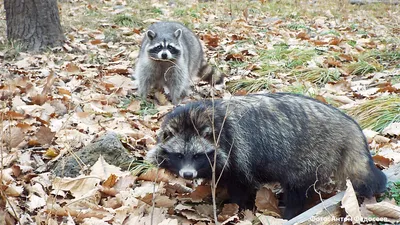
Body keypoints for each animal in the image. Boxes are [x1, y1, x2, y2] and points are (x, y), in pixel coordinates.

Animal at [147, 92, 388, 219]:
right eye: (179, 155)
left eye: (198, 156)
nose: (188, 175)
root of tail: (347, 121)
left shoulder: (237, 152)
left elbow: (240, 185)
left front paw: (236, 207)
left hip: (310, 154)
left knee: (297, 187)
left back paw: (291, 211)